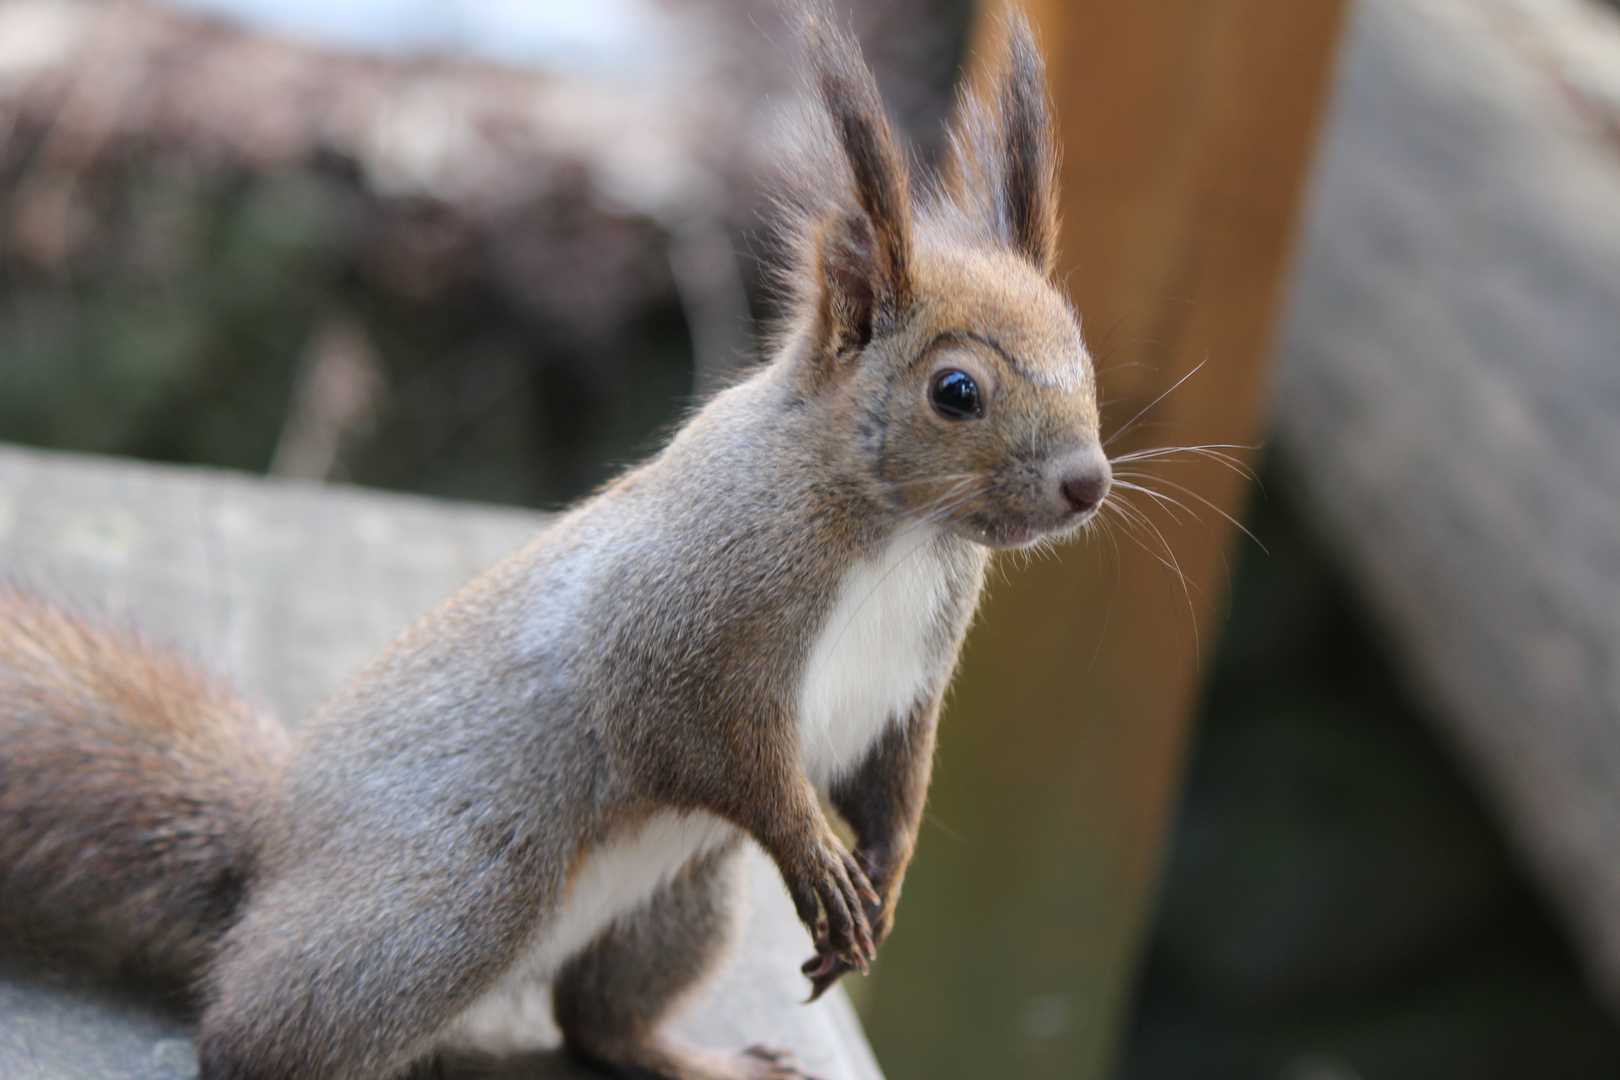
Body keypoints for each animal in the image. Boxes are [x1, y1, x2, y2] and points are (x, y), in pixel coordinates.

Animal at [0, 8, 1109, 1080]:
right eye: (955, 390)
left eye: (1083, 352)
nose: (1086, 483)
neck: (898, 533)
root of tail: (271, 848)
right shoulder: (689, 621)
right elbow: (715, 746)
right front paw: (816, 856)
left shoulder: (907, 686)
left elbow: (893, 779)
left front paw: (883, 875)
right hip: (454, 908)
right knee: (251, 1035)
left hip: (683, 898)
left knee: (598, 1026)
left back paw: (702, 1062)